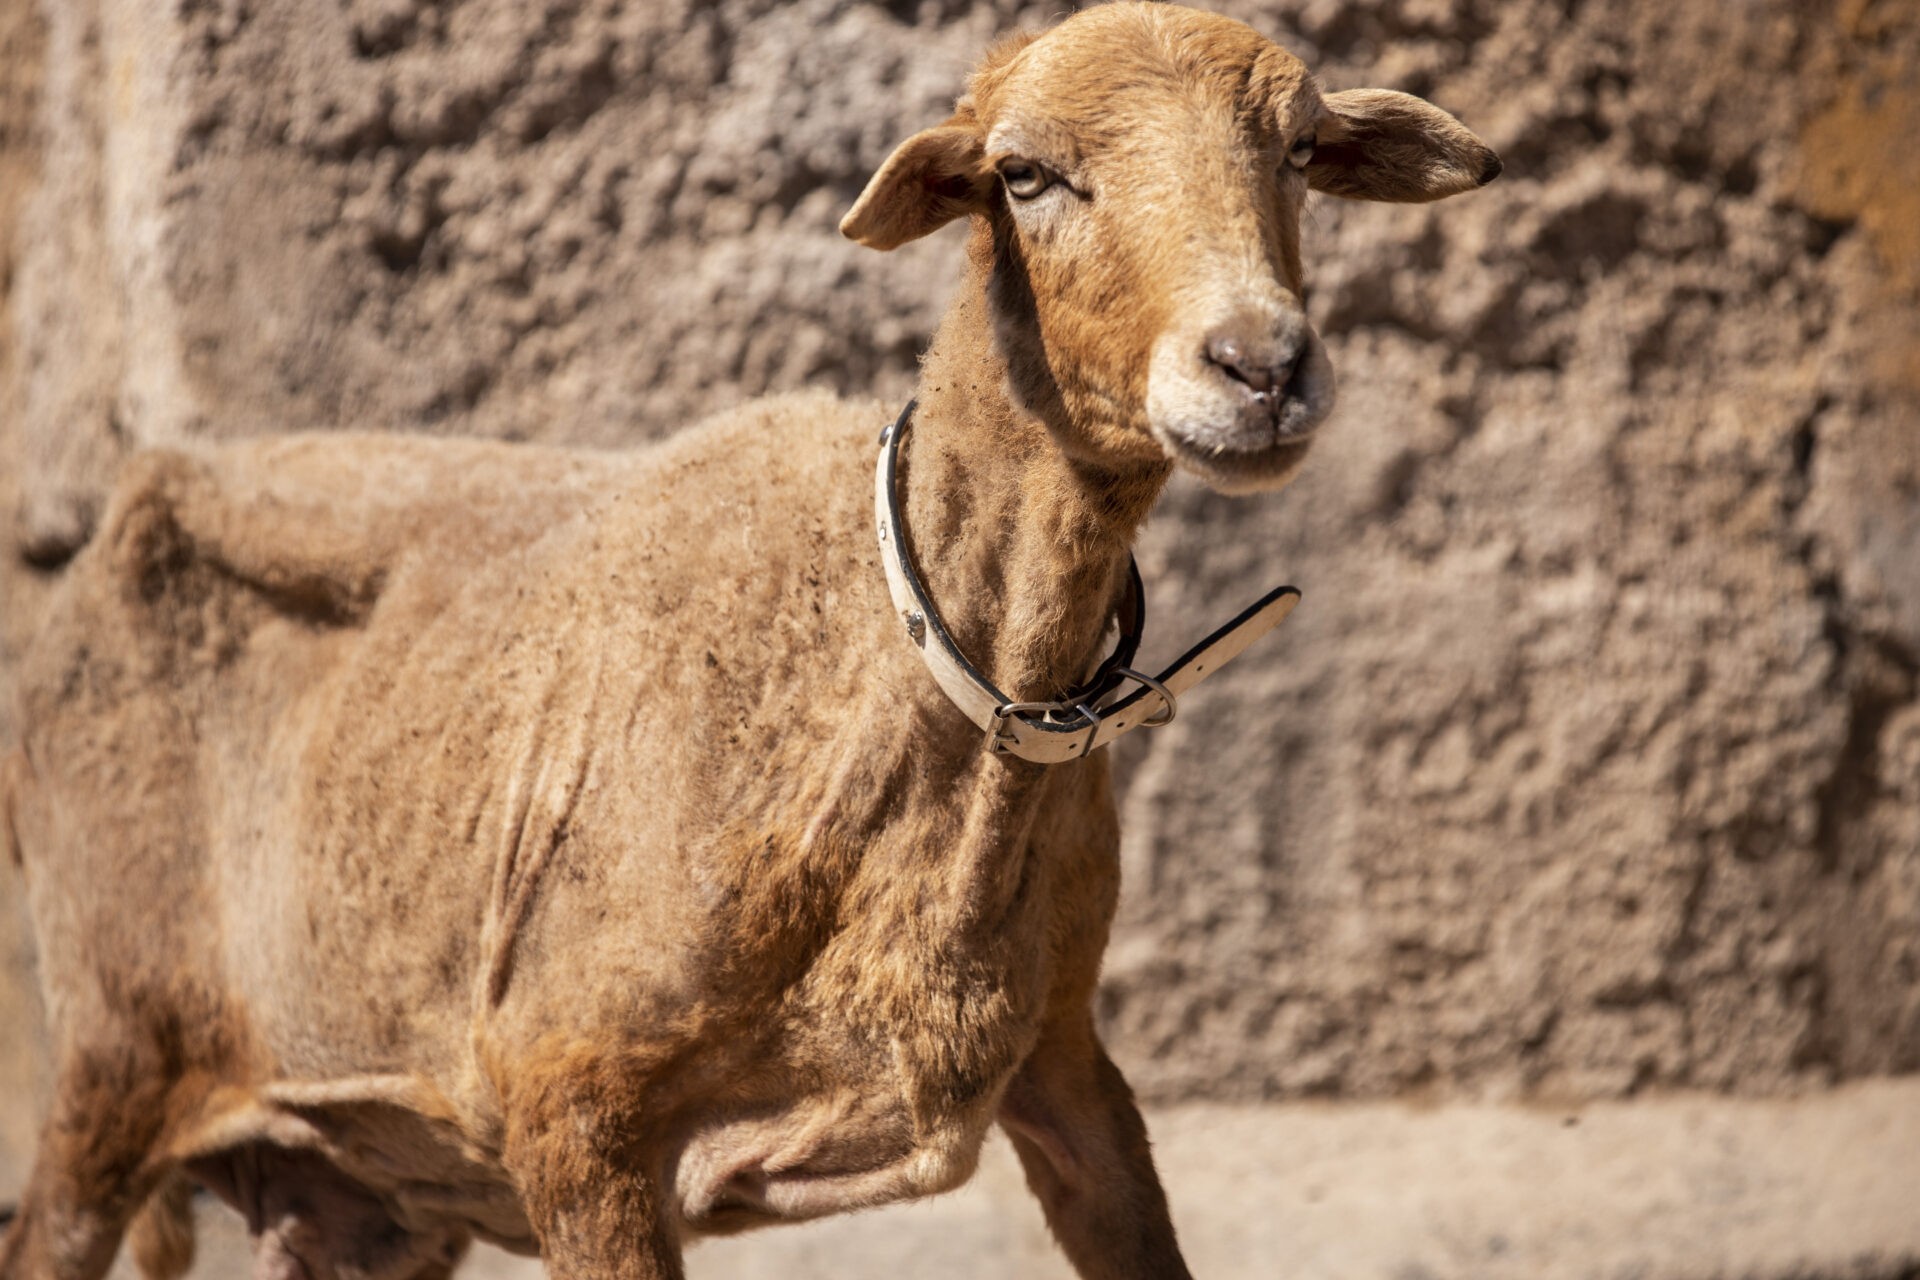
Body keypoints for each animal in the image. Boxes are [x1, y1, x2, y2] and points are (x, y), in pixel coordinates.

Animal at [0, 4, 1499, 1278]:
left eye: (1300, 153)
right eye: (1024, 176)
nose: (1261, 366)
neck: (905, 671)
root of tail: (128, 502)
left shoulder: (1070, 1065)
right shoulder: (569, 1109)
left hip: (362, 1187)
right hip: (111, 1058)